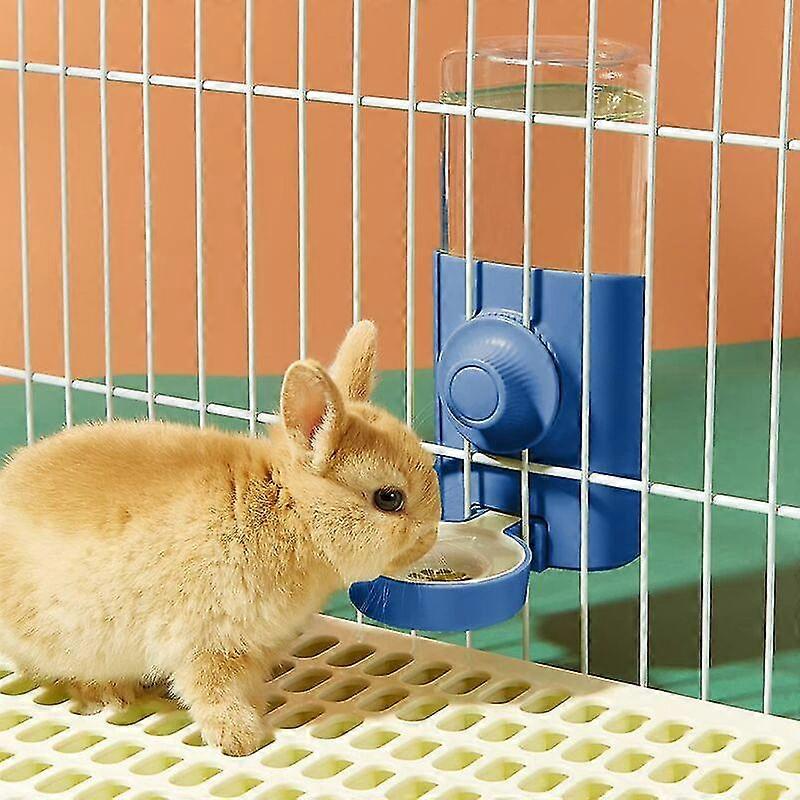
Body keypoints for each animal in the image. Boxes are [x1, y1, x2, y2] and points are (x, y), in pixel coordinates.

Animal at [0, 320, 441, 756]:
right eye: (389, 499)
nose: (431, 536)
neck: (288, 510)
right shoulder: (206, 641)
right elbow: (211, 691)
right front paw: (240, 738)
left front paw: (257, 712)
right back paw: (110, 694)